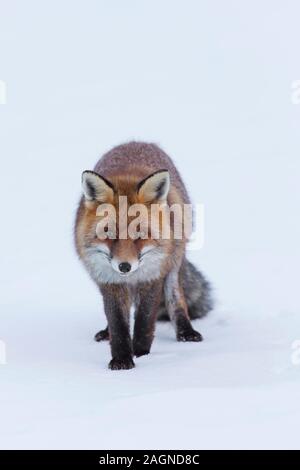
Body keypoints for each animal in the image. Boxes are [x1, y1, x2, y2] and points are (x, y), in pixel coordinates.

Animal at [75, 141, 213, 370]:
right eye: (110, 235)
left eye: (139, 234)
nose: (124, 266)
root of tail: (136, 142)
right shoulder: (109, 280)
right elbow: (118, 323)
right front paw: (122, 359)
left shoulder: (152, 277)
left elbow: (144, 319)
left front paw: (140, 353)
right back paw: (106, 332)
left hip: (174, 264)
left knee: (177, 300)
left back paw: (186, 332)